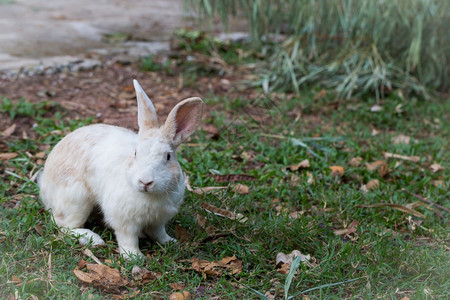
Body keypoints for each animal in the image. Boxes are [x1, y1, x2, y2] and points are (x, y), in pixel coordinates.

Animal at [38, 79, 204, 258]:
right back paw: (94, 239)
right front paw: (134, 257)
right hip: (76, 199)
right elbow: (128, 239)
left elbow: (159, 233)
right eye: (136, 153)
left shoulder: (158, 221)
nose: (145, 182)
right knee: (63, 225)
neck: (149, 196)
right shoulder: (124, 222)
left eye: (168, 157)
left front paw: (170, 242)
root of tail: (44, 186)